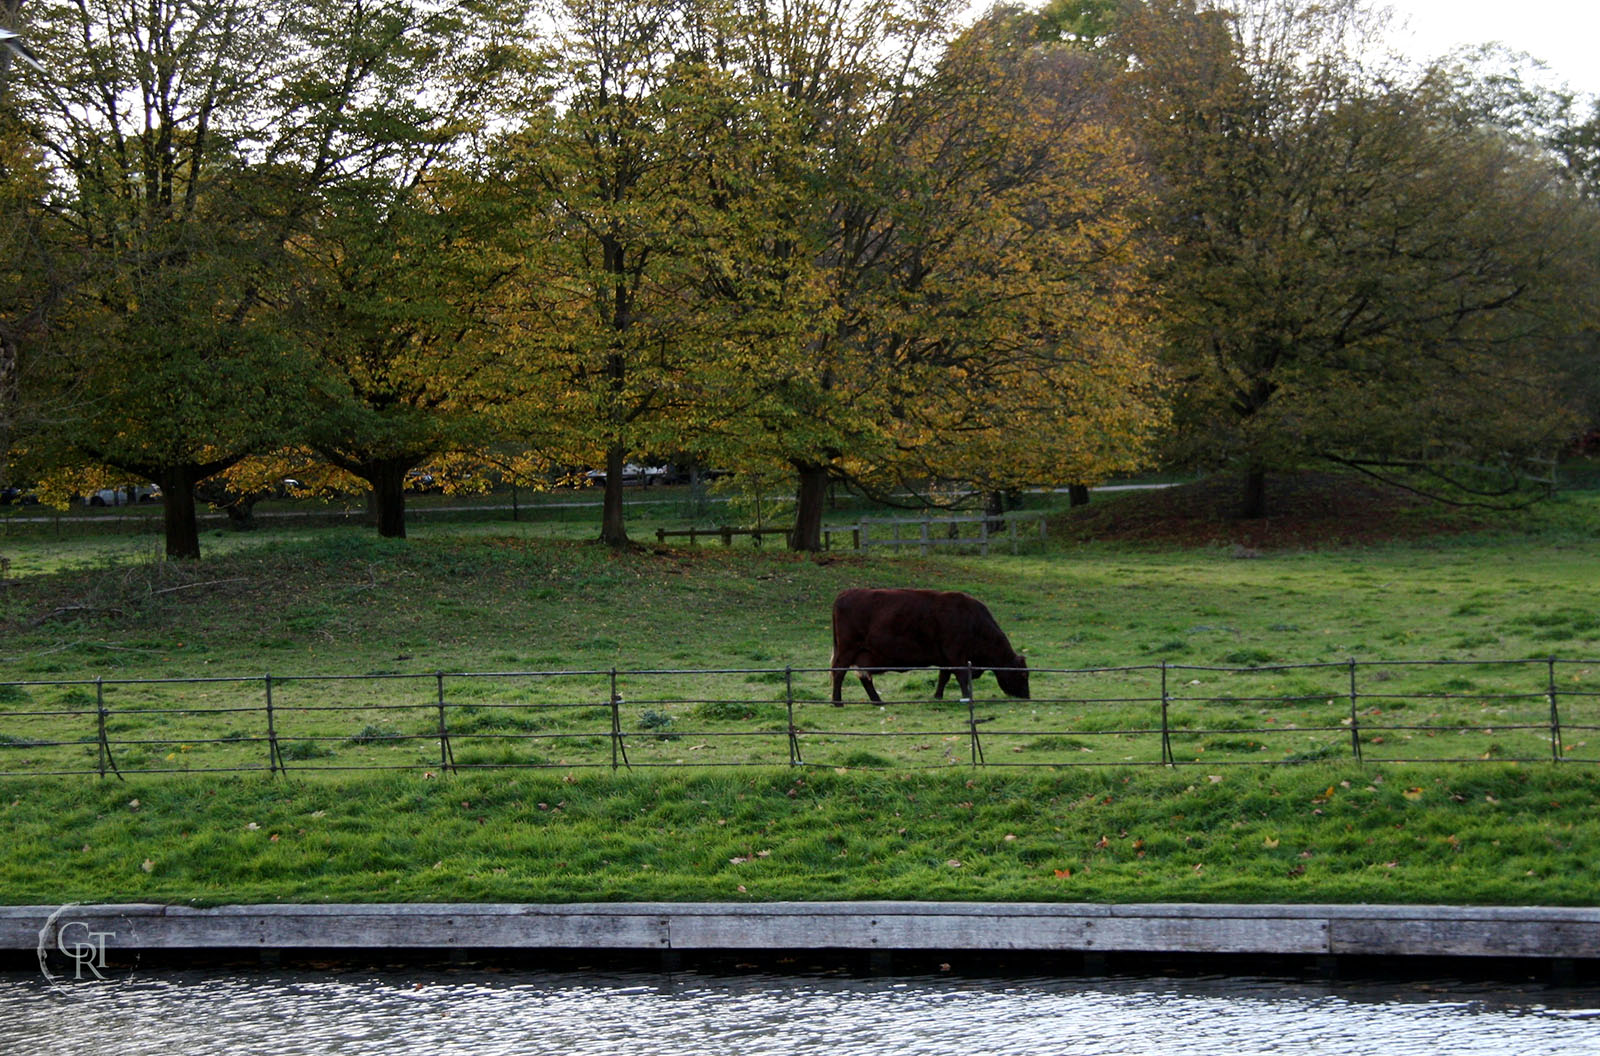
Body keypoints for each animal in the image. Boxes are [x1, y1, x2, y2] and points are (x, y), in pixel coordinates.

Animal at [832, 588, 1030, 704]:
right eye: (1022, 674)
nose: (1027, 696)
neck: (973, 621)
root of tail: (846, 593)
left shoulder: (945, 658)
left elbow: (944, 677)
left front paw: (938, 696)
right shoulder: (956, 655)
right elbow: (961, 677)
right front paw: (966, 696)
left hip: (863, 654)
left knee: (864, 677)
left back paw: (877, 700)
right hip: (847, 650)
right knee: (838, 672)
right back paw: (837, 701)